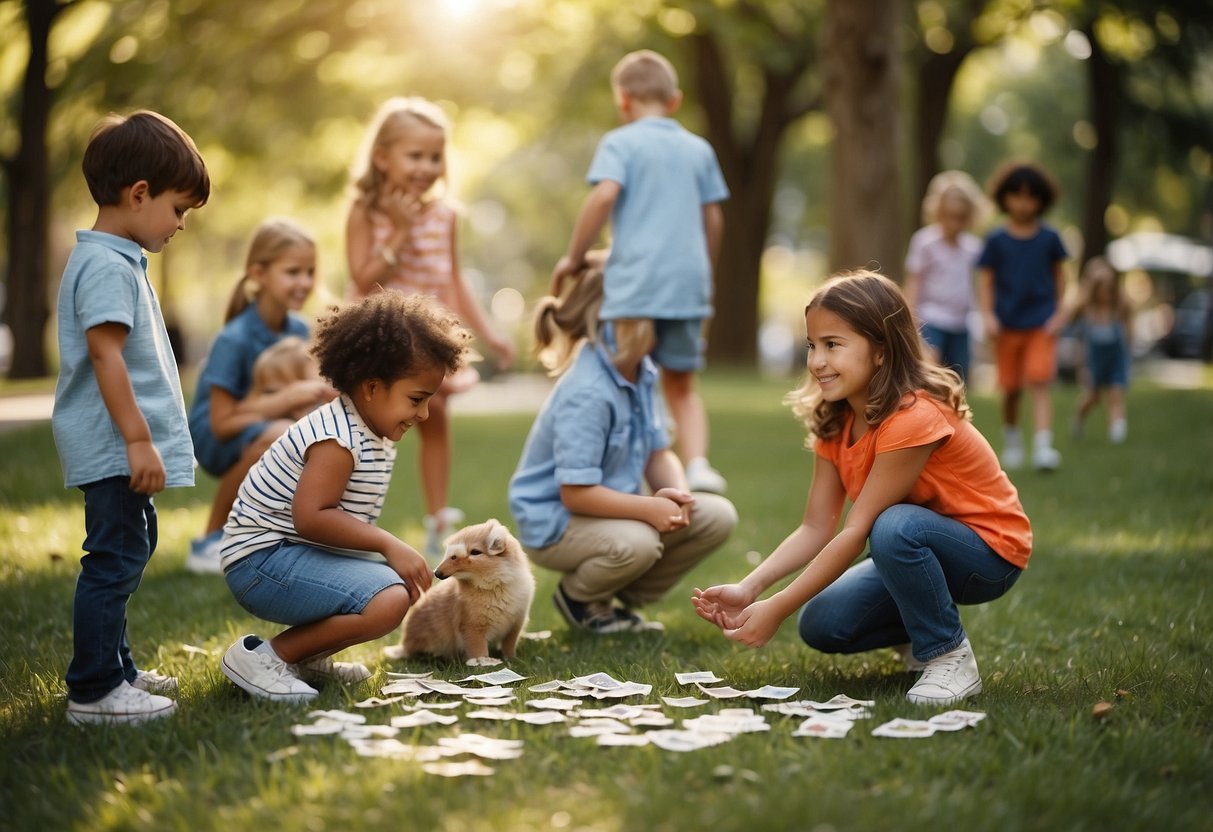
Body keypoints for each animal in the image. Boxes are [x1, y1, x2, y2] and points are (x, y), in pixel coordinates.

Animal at [395, 519, 533, 669]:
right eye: (448, 554)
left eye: (475, 552)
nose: (437, 573)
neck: (495, 586)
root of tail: (404, 645)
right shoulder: (472, 627)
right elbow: (479, 650)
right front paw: (482, 665)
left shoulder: (516, 623)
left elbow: (509, 646)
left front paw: (512, 660)